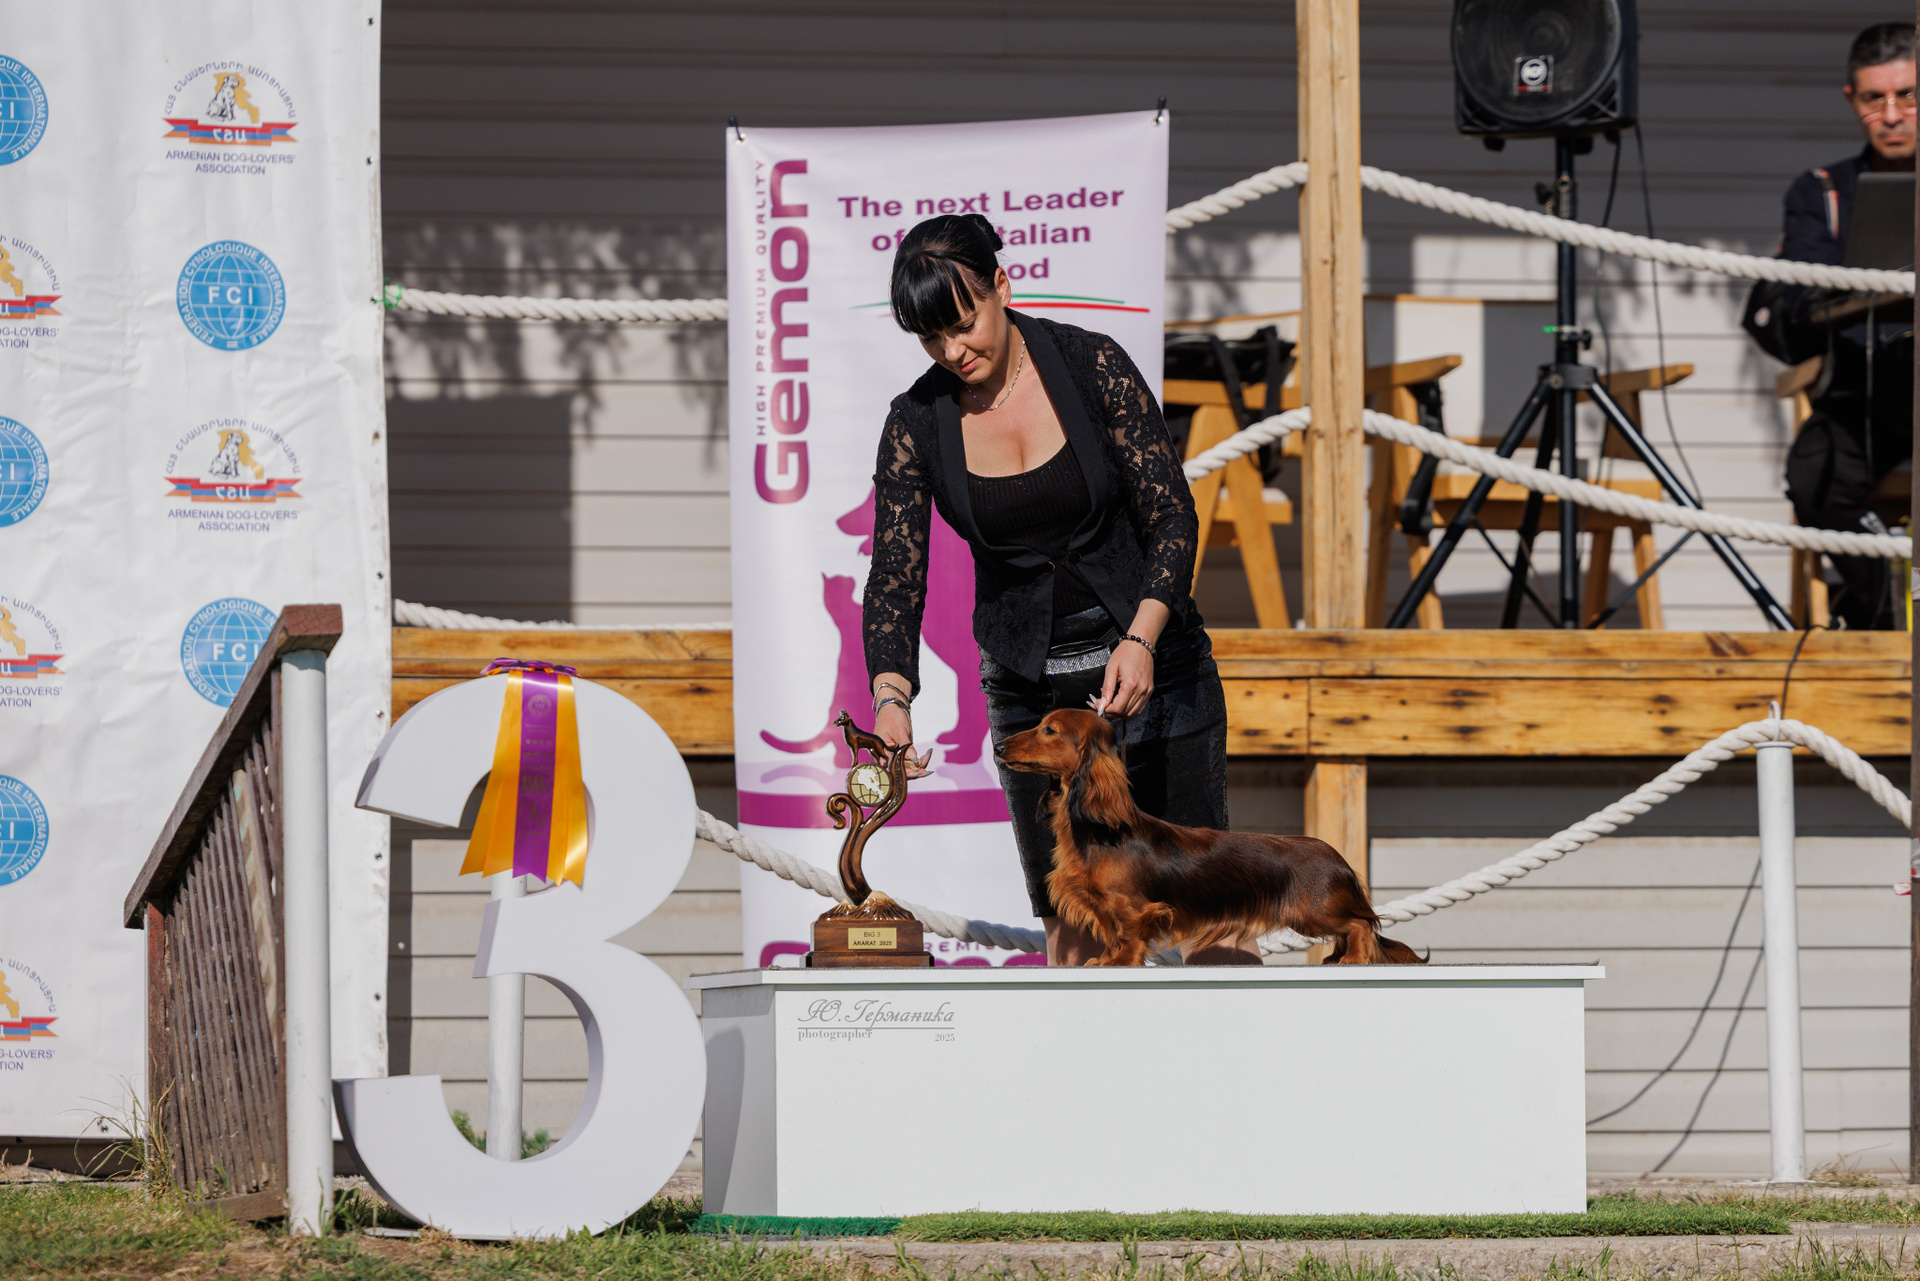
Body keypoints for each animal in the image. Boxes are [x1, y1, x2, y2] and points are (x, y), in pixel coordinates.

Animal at [996, 709, 1425, 966]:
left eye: (1049, 730)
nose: (998, 746)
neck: (1097, 833)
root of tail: (1339, 858)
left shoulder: (1133, 908)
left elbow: (1130, 934)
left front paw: (1120, 962)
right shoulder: (1105, 907)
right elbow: (1113, 933)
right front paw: (1106, 959)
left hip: (1313, 910)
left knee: (1360, 924)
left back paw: (1354, 958)